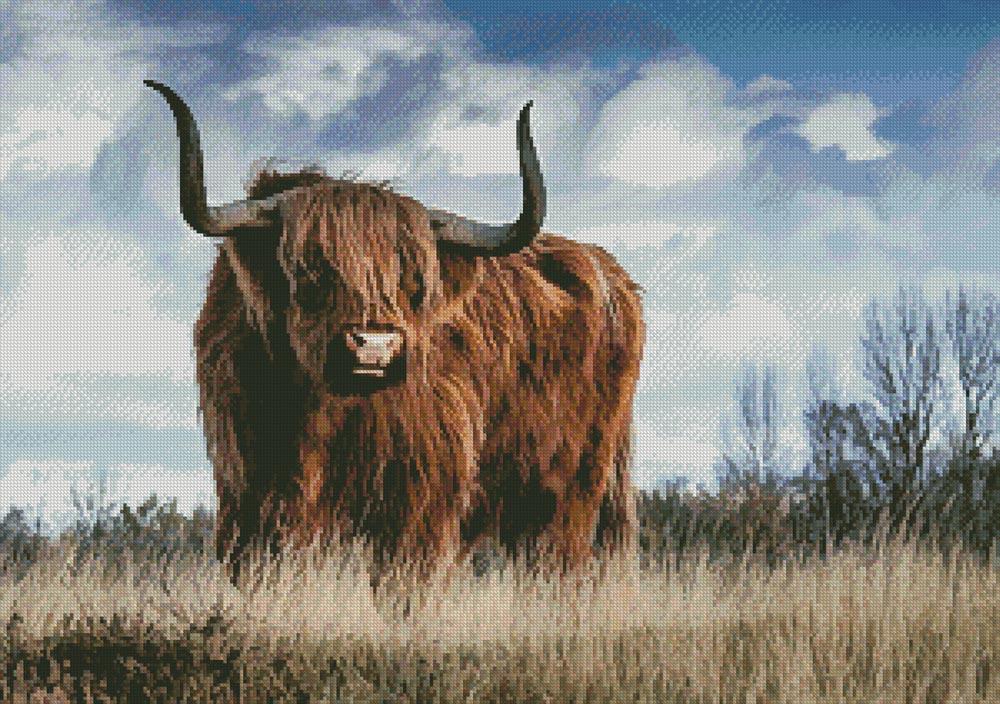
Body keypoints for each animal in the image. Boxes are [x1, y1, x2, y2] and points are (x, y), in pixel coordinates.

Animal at [144, 80, 644, 588]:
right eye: (310, 271)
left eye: (415, 282)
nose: (376, 345)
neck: (320, 413)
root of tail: (612, 274)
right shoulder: (249, 491)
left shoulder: (419, 496)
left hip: (569, 488)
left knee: (558, 565)